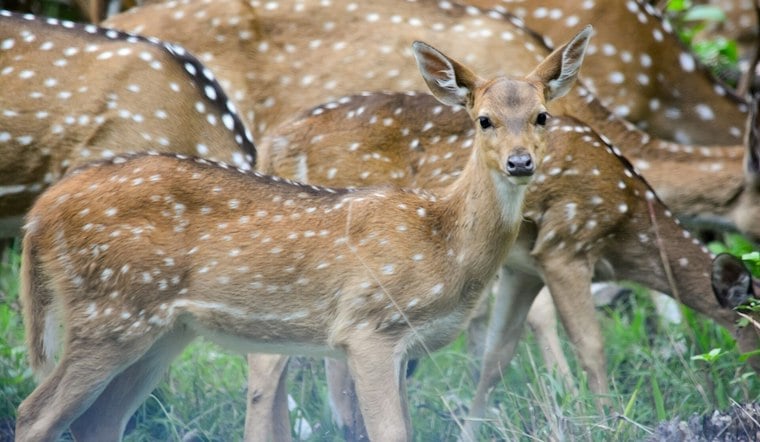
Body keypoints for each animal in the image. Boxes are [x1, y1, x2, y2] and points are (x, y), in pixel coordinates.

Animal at [13, 27, 592, 442]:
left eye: (542, 116)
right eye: (483, 120)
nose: (520, 163)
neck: (443, 244)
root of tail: (39, 215)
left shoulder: (403, 347)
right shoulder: (369, 328)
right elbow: (387, 432)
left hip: (162, 330)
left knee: (97, 422)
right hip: (110, 312)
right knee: (33, 413)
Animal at [246, 89, 760, 440]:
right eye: (756, 336)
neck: (627, 220)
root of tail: (272, 145)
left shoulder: (522, 269)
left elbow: (496, 356)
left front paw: (470, 430)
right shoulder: (565, 246)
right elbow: (591, 346)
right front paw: (607, 421)